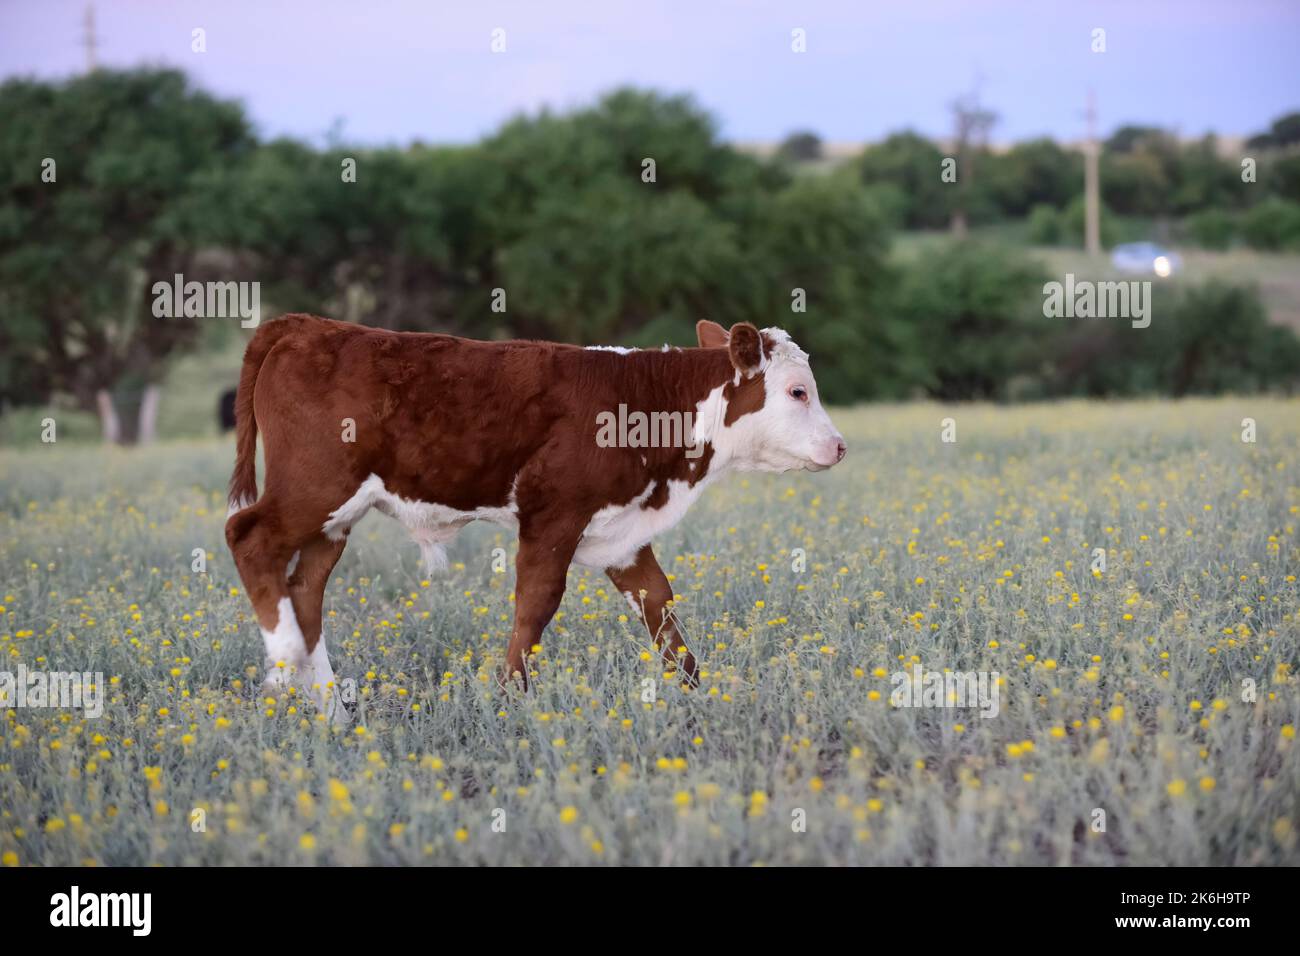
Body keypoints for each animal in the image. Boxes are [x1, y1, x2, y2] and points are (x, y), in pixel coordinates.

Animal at [228, 317, 847, 723]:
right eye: (797, 391)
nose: (840, 446)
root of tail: (308, 325)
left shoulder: (621, 535)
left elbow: (662, 611)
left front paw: (704, 697)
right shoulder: (553, 515)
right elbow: (536, 604)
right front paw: (507, 702)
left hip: (333, 519)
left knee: (305, 587)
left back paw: (330, 711)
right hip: (314, 489)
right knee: (249, 537)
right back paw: (283, 667)